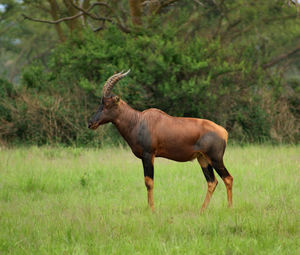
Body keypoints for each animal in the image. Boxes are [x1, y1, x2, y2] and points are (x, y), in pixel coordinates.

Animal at [88, 69, 233, 211]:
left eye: (107, 104)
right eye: (100, 103)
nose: (91, 123)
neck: (138, 121)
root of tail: (223, 131)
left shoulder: (148, 155)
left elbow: (149, 182)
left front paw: (152, 209)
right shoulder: (144, 157)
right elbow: (147, 181)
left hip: (215, 159)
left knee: (228, 178)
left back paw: (229, 208)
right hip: (202, 159)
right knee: (212, 182)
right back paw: (202, 209)